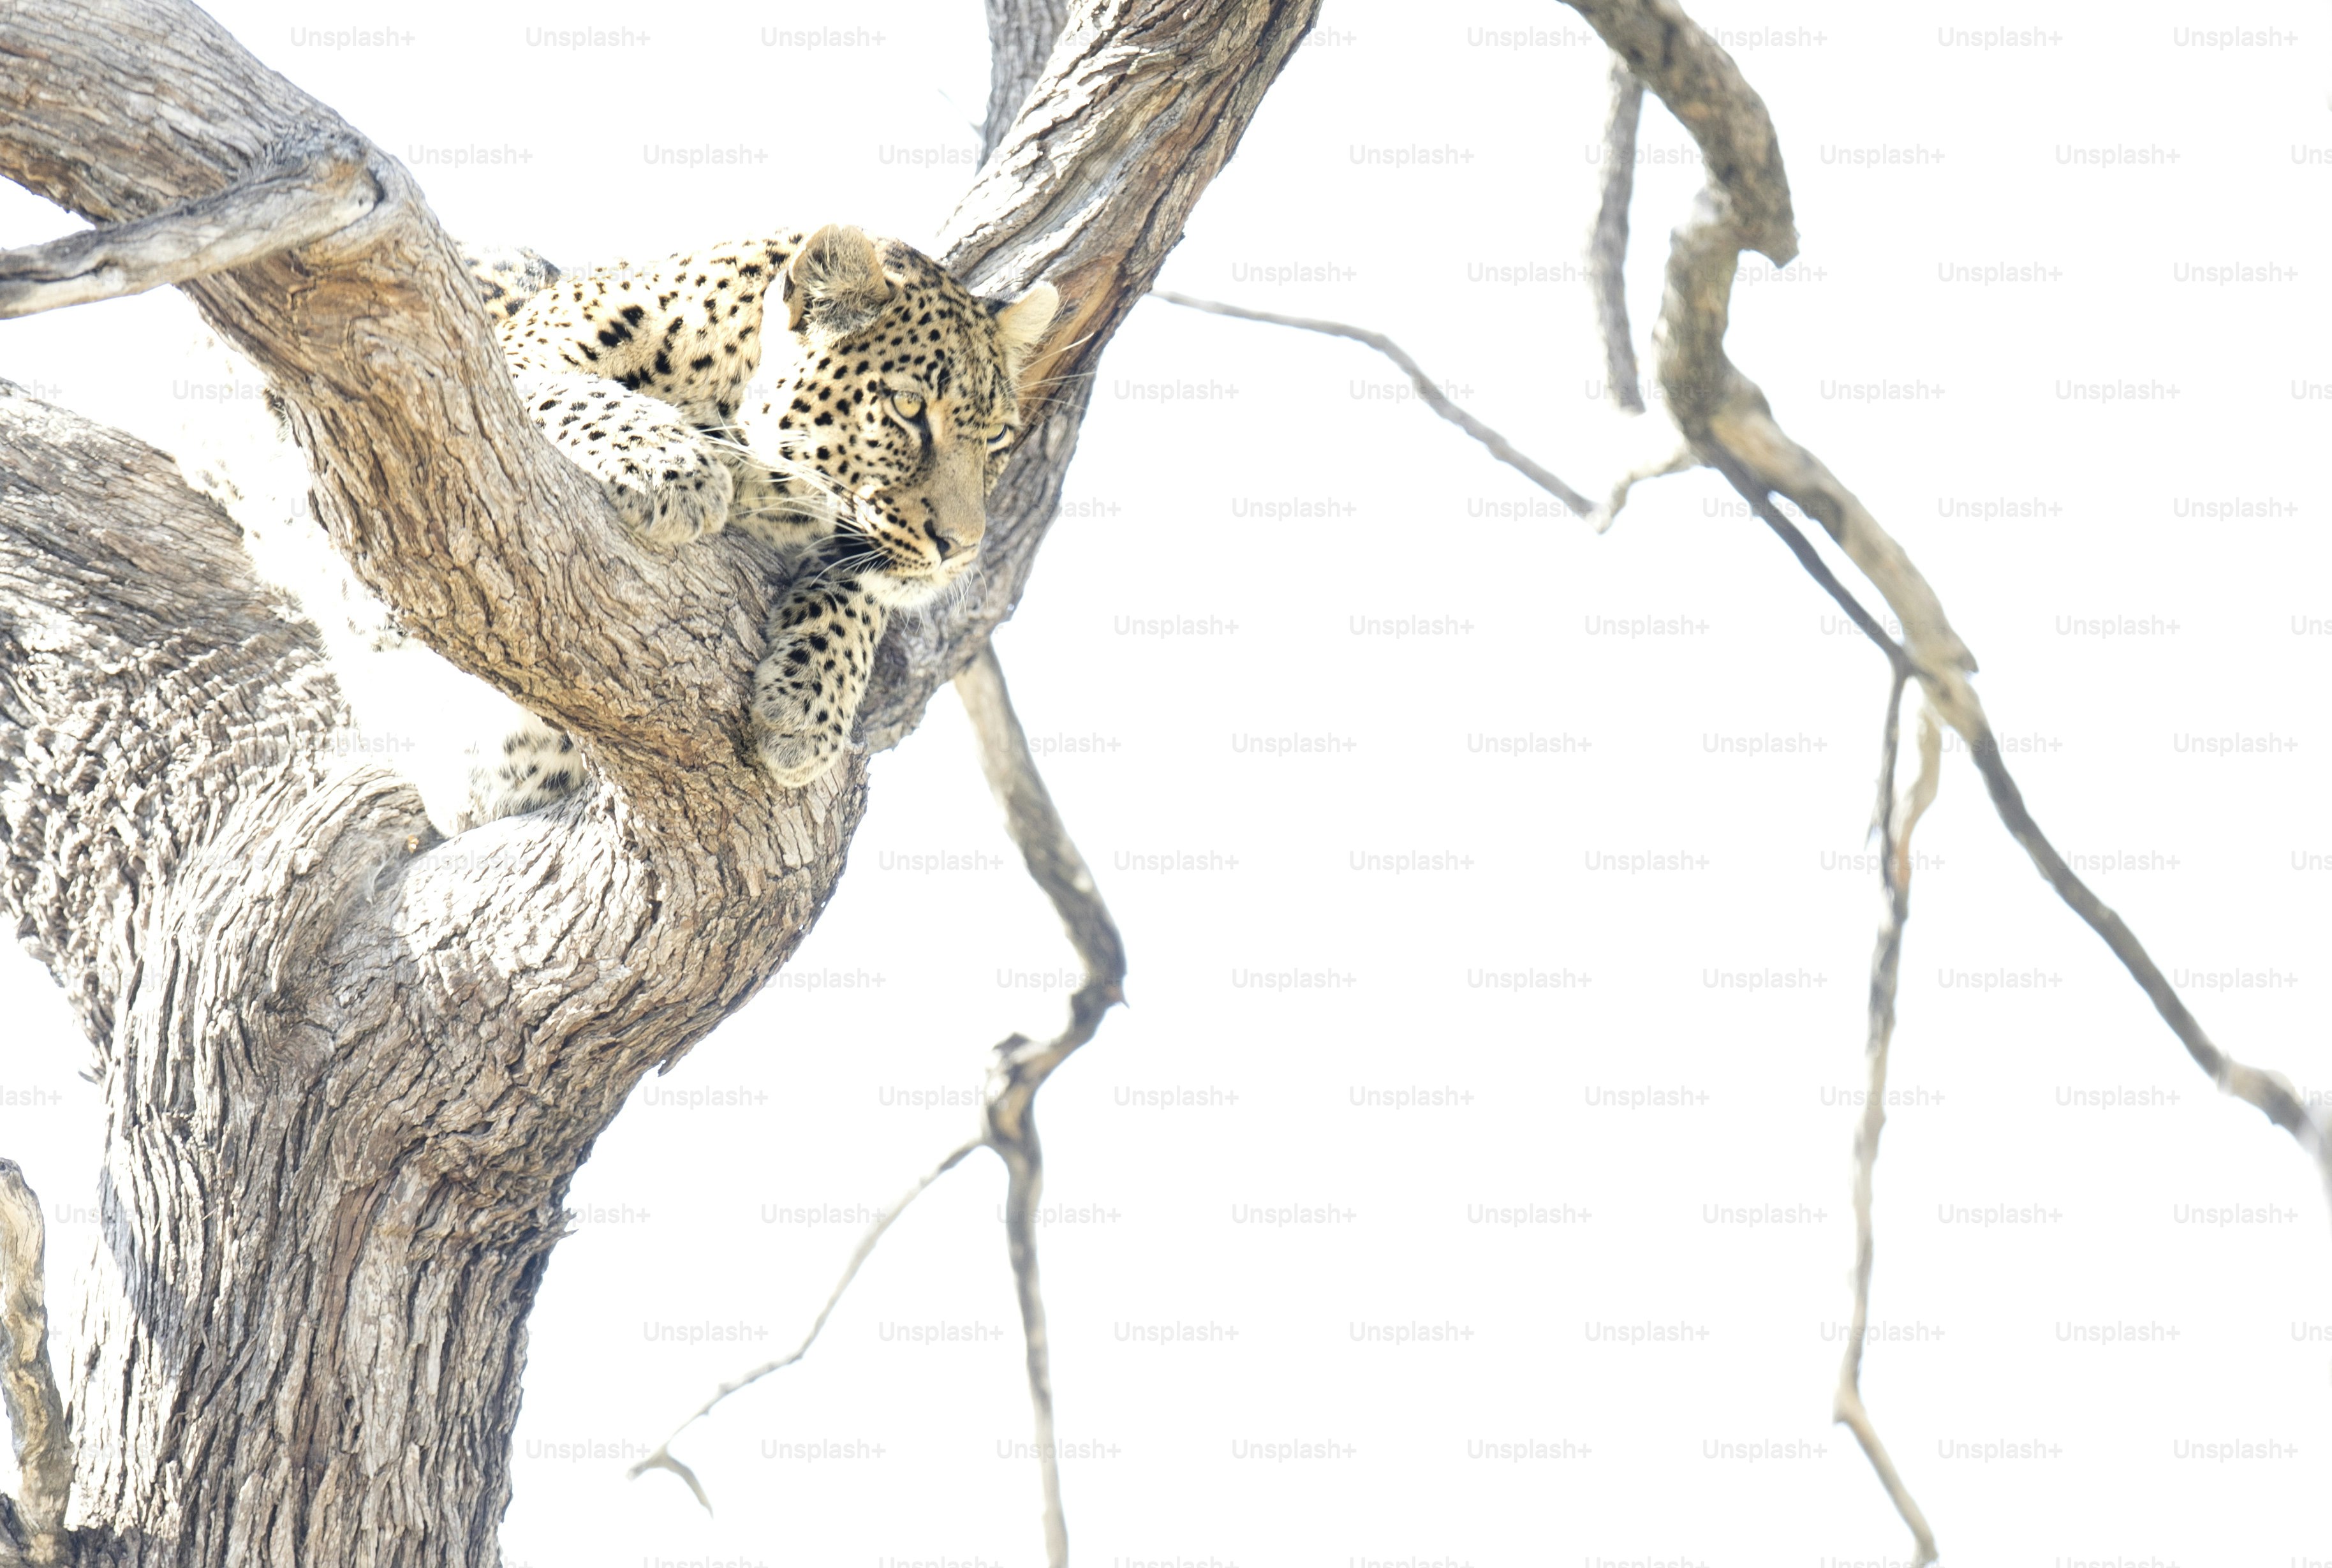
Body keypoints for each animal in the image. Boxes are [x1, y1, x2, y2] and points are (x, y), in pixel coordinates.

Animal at [456, 226, 1059, 821]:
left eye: (997, 437)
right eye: (908, 406)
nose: (960, 547)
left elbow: (861, 588)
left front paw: (811, 701)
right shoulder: (497, 356)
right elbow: (567, 389)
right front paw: (668, 464)